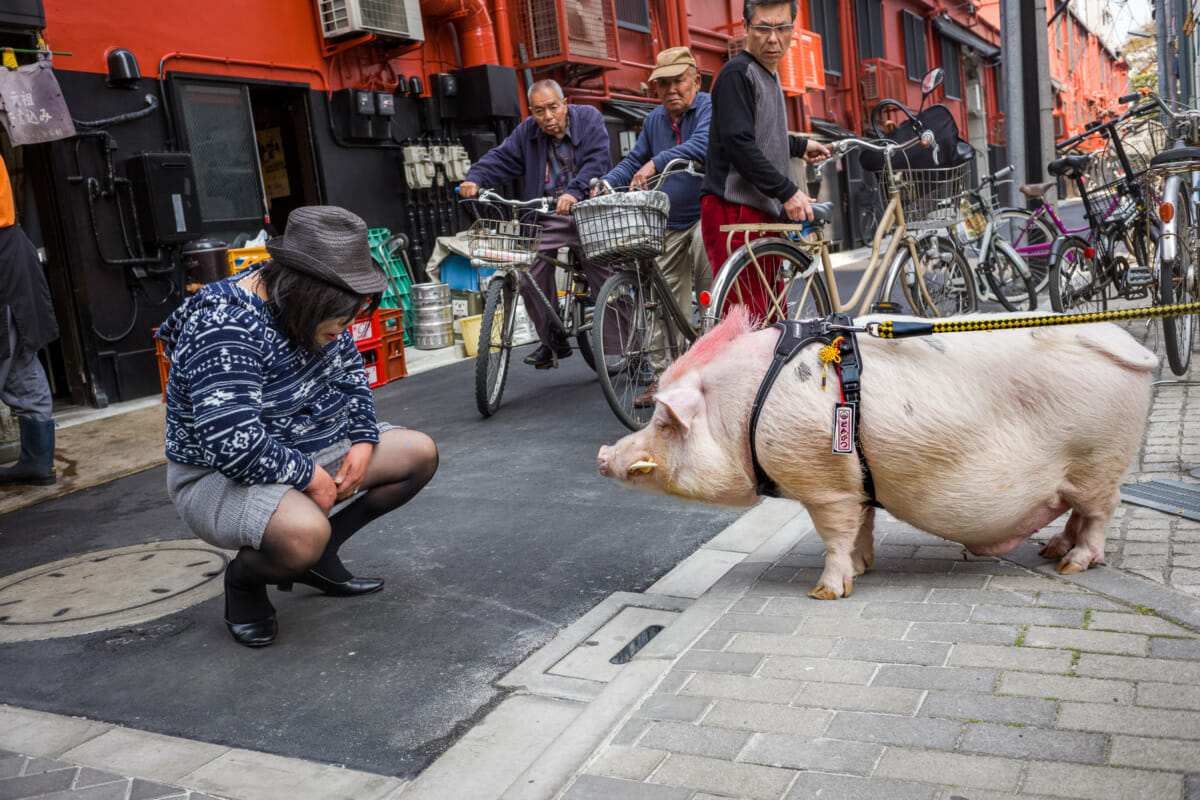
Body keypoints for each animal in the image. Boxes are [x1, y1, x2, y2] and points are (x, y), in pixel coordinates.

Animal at [595, 309, 1156, 597]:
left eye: (664, 424)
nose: (602, 454)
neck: (744, 409)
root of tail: (1133, 347)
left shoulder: (822, 484)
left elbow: (835, 536)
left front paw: (825, 592)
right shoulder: (853, 483)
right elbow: (862, 524)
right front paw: (865, 568)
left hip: (1098, 462)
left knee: (1102, 513)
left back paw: (1071, 567)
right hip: (1083, 471)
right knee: (1076, 515)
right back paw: (1051, 553)